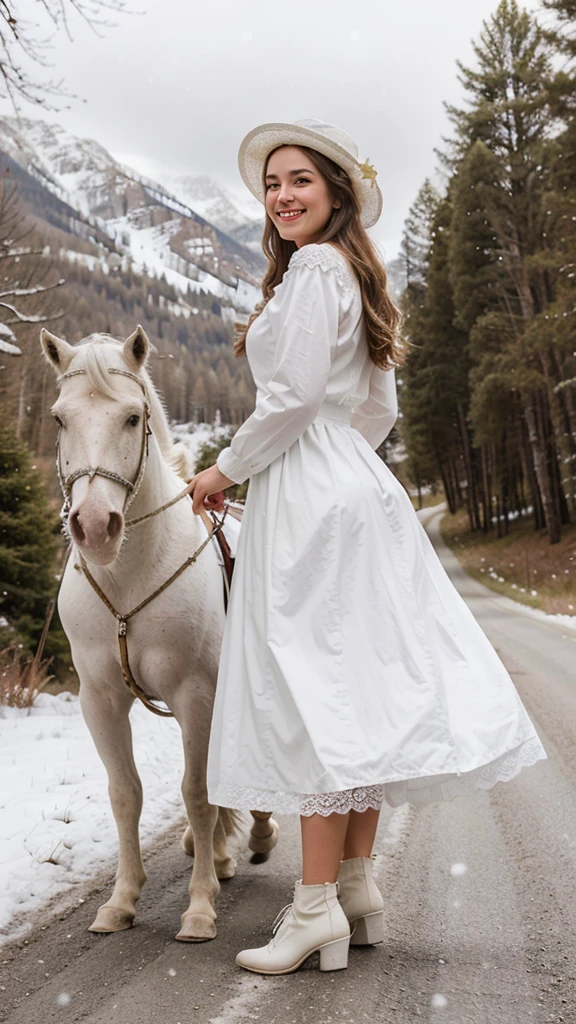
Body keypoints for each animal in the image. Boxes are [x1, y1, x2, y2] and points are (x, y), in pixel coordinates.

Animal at [39, 327, 276, 942]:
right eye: (58, 419)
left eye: (132, 417)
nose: (94, 527)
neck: (129, 576)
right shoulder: (100, 699)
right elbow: (126, 793)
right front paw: (122, 900)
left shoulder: (196, 693)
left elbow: (197, 792)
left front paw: (199, 906)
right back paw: (221, 851)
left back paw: (255, 835)